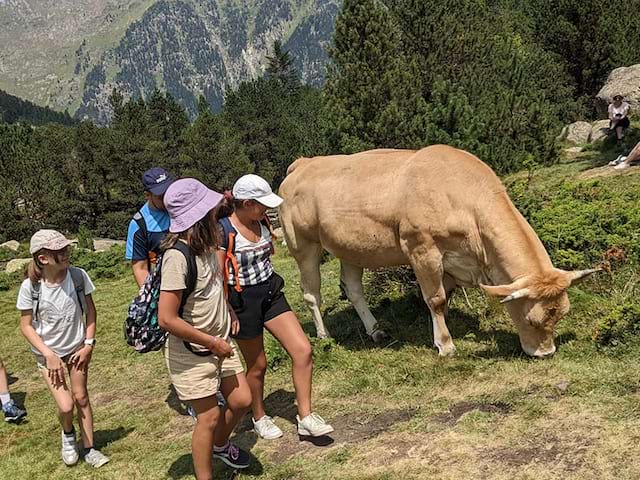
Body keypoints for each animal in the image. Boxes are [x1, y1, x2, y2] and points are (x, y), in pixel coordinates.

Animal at [278, 144, 596, 358]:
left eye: (562, 315)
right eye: (531, 320)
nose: (546, 352)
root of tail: (304, 163)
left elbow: (446, 296)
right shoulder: (422, 250)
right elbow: (437, 299)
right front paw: (445, 344)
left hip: (351, 247)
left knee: (353, 289)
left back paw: (376, 330)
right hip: (303, 244)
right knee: (312, 294)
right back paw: (324, 336)